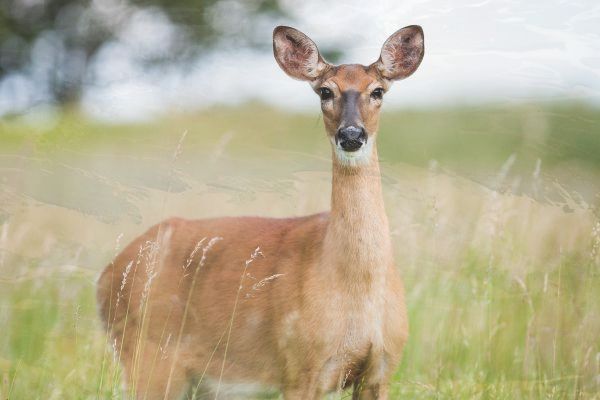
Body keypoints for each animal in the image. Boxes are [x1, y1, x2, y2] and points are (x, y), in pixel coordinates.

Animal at [98, 25, 424, 400]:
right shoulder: (300, 366)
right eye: (325, 91)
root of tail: (106, 276)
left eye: (378, 91)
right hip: (148, 357)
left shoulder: (381, 368)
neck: (356, 286)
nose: (352, 134)